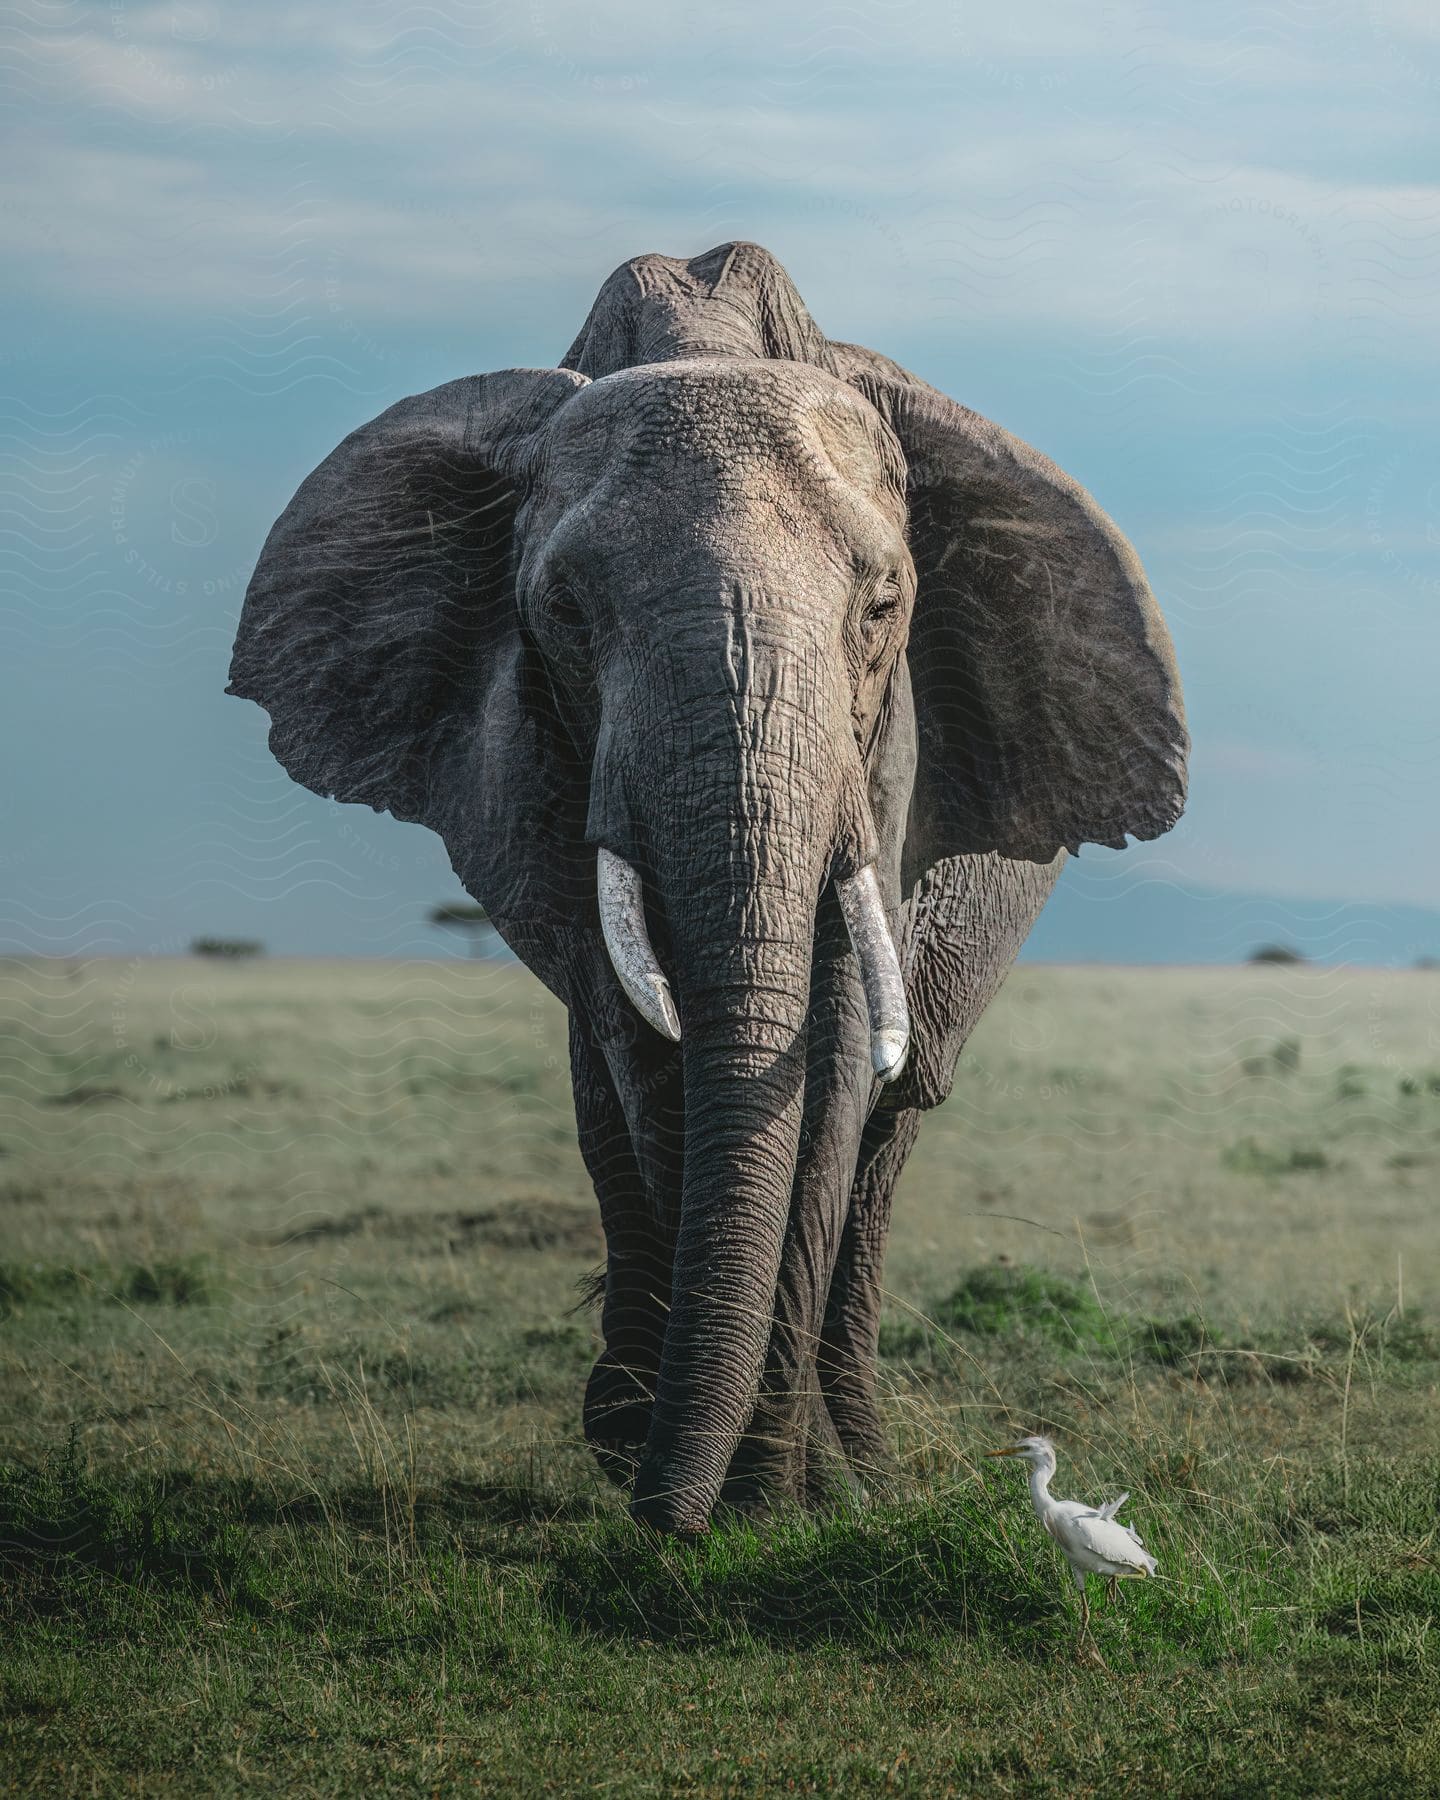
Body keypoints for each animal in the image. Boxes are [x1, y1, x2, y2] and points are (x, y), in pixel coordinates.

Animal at [227, 235, 1195, 1533]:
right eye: (565, 611)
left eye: (883, 606)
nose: (666, 1520)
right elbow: (647, 1050)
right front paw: (699, 1481)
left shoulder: (886, 755)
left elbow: (831, 1066)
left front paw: (774, 1500)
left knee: (891, 1129)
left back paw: (856, 1465)